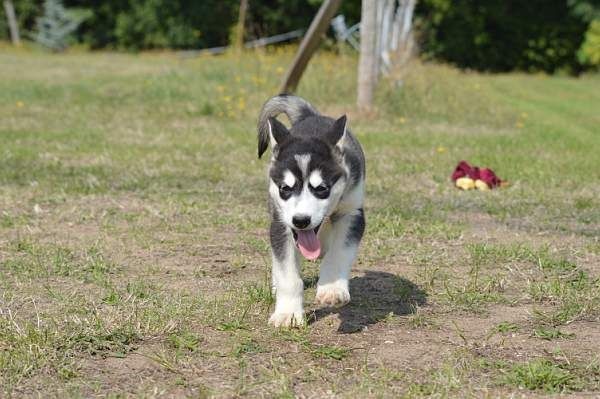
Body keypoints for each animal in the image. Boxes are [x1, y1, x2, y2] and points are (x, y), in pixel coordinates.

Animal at [255, 94, 364, 328]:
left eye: (321, 188)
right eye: (285, 188)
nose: (301, 220)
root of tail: (311, 116)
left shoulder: (352, 214)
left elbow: (339, 253)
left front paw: (332, 288)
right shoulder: (281, 224)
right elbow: (287, 272)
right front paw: (288, 313)